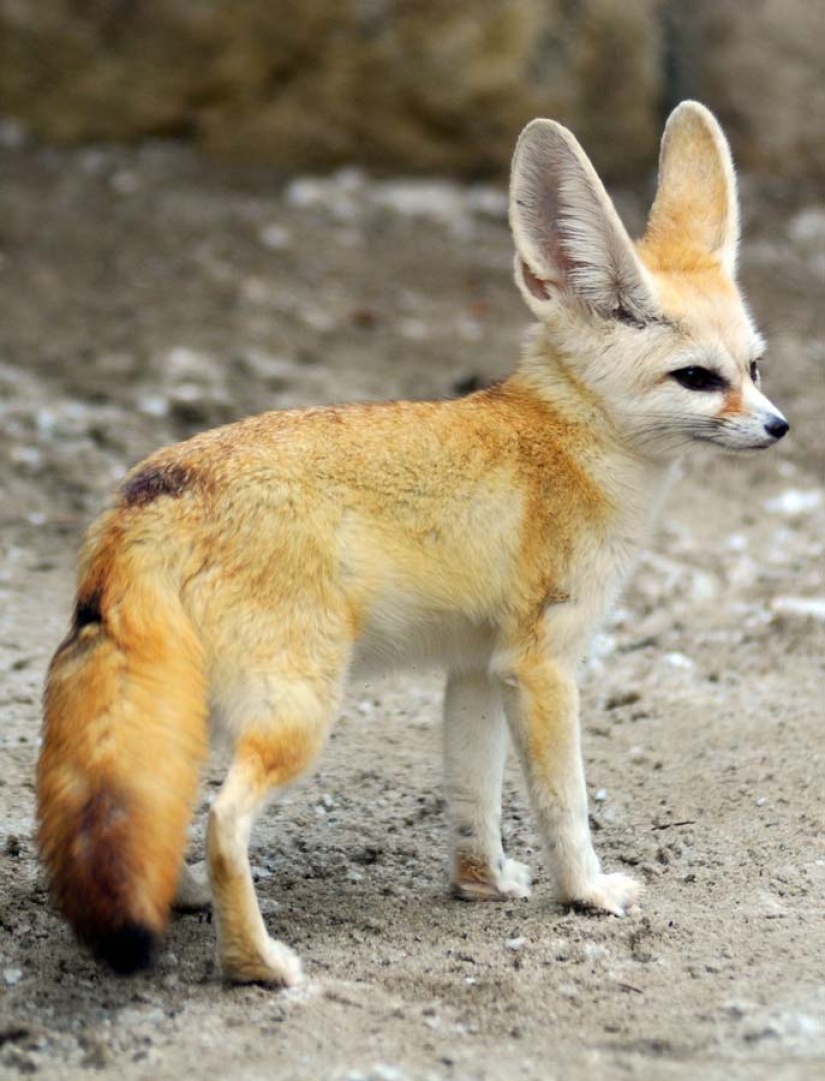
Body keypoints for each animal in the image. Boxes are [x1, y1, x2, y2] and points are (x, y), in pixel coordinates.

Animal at [37, 101, 788, 985]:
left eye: (754, 367)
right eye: (698, 379)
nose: (778, 426)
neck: (567, 439)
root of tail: (148, 486)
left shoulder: (476, 667)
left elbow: (473, 796)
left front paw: (482, 884)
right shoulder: (542, 666)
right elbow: (562, 803)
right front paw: (587, 892)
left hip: (206, 707)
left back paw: (179, 891)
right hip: (299, 714)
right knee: (224, 821)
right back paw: (259, 966)